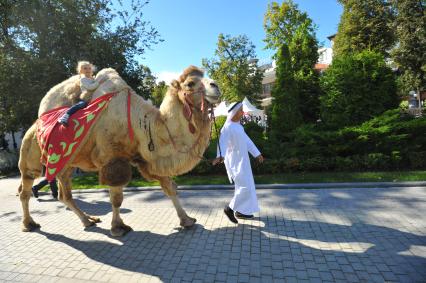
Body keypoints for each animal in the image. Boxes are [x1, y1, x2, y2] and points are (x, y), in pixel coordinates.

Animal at [18, 66, 221, 237]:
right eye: (190, 83)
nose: (216, 86)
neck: (143, 124)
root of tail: (34, 124)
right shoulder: (113, 158)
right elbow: (116, 198)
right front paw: (118, 228)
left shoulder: (147, 158)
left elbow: (169, 188)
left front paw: (187, 220)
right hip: (30, 152)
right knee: (25, 188)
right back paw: (29, 224)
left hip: (66, 163)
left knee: (64, 193)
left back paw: (88, 220)